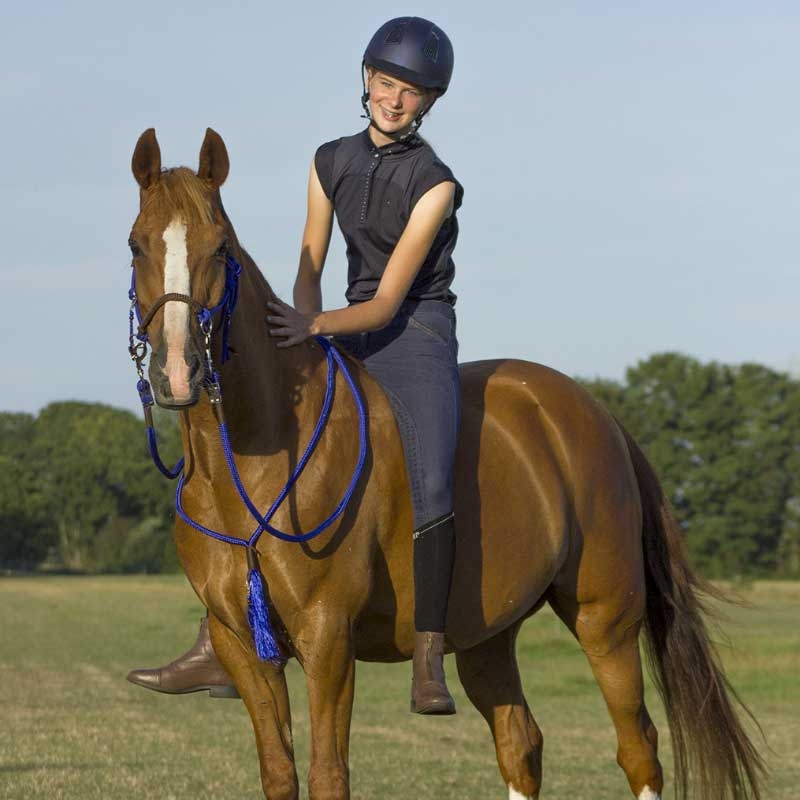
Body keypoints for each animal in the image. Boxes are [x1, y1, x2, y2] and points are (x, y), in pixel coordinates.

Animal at [126, 126, 764, 800]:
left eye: (220, 248)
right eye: (137, 244)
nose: (179, 372)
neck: (259, 456)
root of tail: (598, 417)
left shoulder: (328, 637)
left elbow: (328, 774)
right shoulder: (242, 642)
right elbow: (279, 773)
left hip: (605, 619)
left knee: (638, 747)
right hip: (488, 634)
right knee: (521, 744)